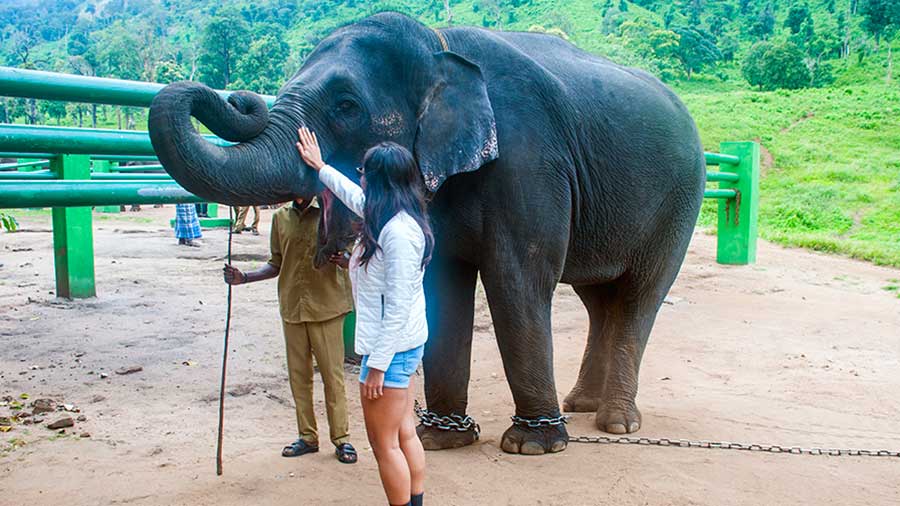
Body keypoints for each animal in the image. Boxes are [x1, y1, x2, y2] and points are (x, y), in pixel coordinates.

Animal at [148, 10, 708, 454]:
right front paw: (440, 439)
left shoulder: (529, 160)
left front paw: (532, 445)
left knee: (639, 295)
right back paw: (581, 404)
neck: (439, 45)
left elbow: (518, 281)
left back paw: (615, 423)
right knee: (598, 298)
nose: (242, 98)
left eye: (347, 105)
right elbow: (441, 283)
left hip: (681, 198)